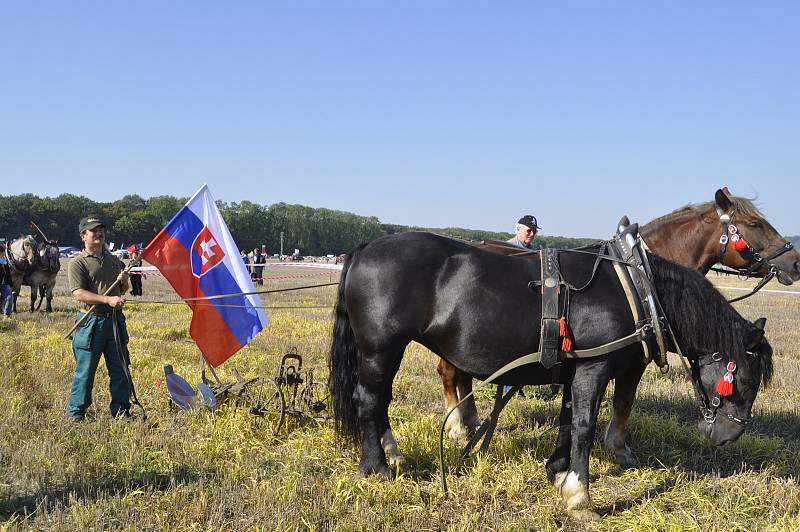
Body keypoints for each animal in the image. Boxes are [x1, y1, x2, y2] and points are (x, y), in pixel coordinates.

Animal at [328, 232, 772, 520]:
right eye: (747, 380)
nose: (729, 436)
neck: (637, 289)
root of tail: (365, 247)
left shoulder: (576, 369)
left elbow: (568, 419)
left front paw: (559, 472)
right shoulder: (594, 367)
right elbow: (584, 425)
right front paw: (580, 498)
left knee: (380, 400)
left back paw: (393, 454)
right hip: (382, 348)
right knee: (369, 399)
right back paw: (377, 466)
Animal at [438, 188, 800, 466]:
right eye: (754, 224)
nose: (794, 262)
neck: (640, 276)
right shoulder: (636, 357)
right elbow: (624, 400)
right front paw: (619, 450)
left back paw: (469, 421)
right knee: (450, 373)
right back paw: (458, 427)